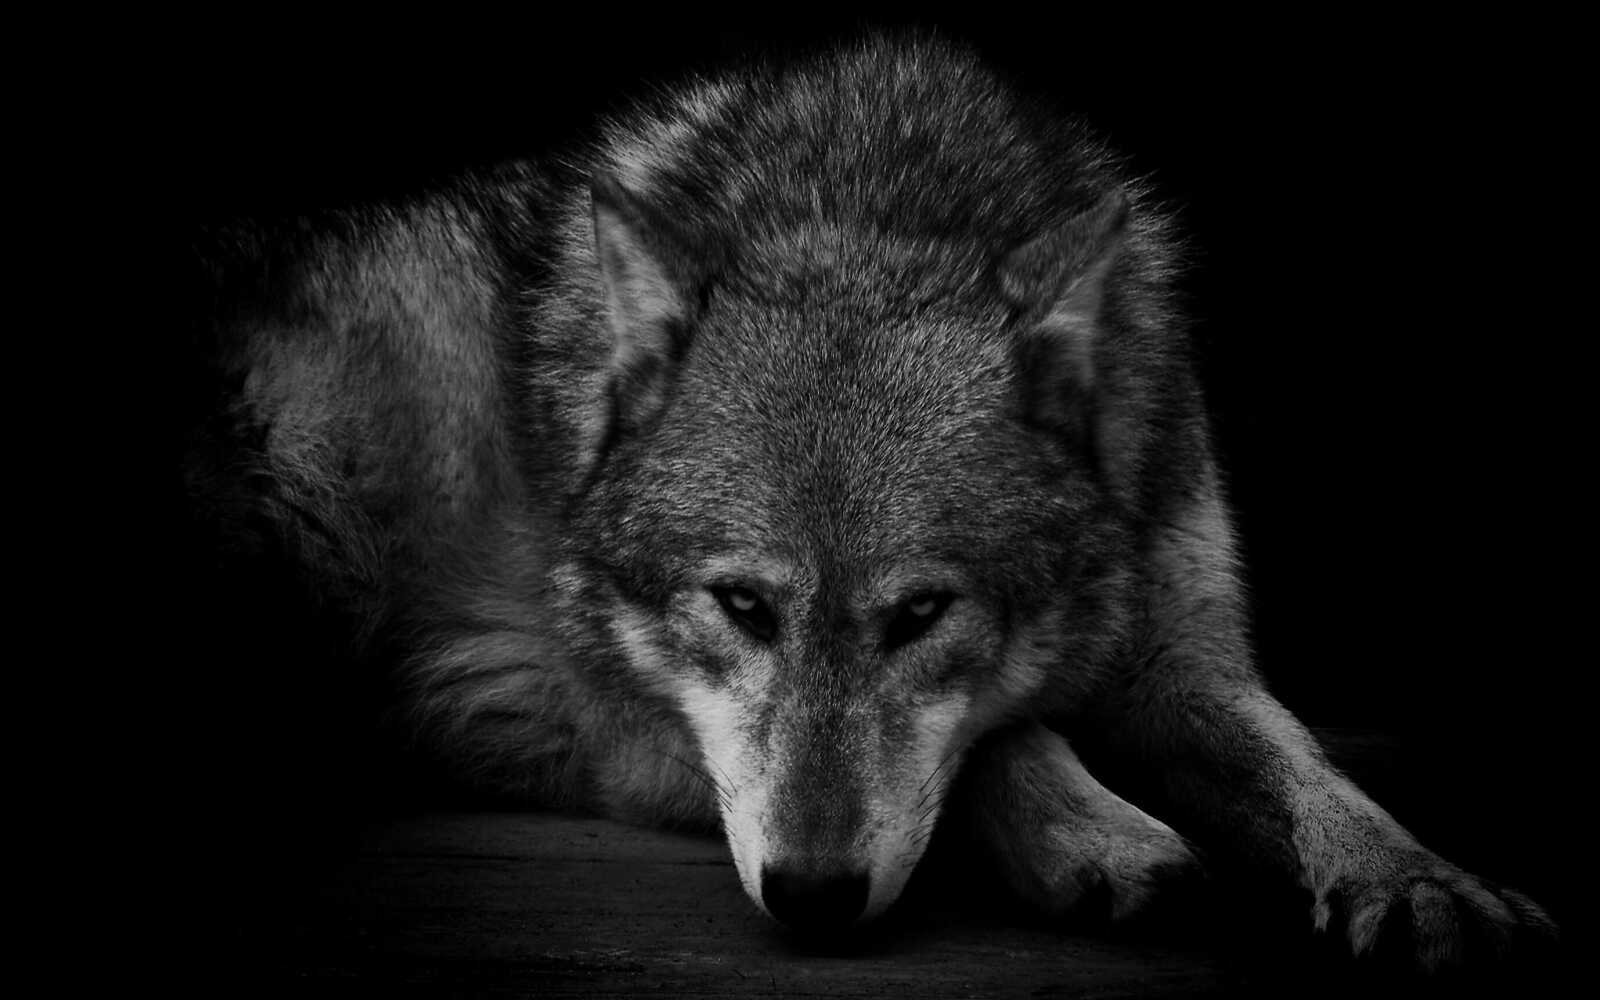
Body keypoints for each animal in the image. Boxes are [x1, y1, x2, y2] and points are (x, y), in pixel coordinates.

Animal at [188, 36, 1553, 971]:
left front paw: (1417, 878)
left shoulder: (1184, 662)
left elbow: (1307, 765)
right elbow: (1006, 736)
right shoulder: (570, 705)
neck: (870, 208)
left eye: (920, 616)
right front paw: (1102, 833)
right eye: (741, 606)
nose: (809, 895)